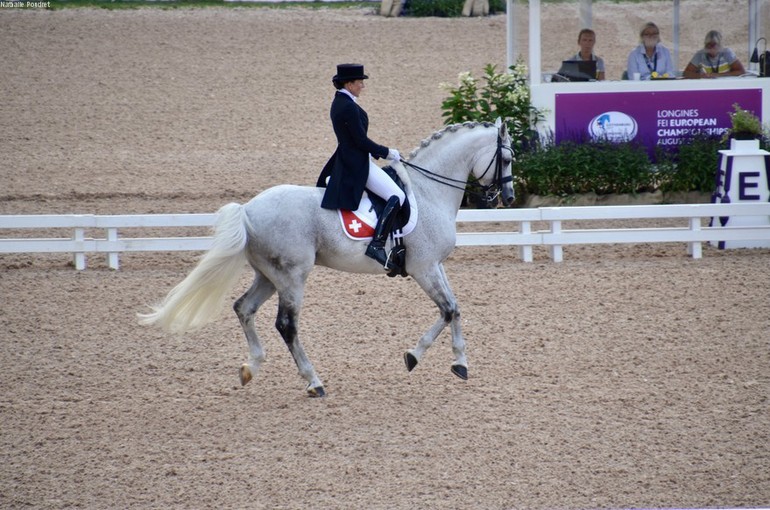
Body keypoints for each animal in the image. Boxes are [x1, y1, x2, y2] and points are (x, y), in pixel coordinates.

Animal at [140, 120, 510, 398]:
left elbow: (455, 308)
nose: (504, 197)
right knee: (286, 325)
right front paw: (414, 356)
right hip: (292, 275)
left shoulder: (436, 265)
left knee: (244, 308)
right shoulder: (424, 267)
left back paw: (251, 367)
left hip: (269, 275)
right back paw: (313, 382)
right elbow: (446, 310)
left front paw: (459, 363)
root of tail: (247, 210)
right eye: (506, 158)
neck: (428, 192)